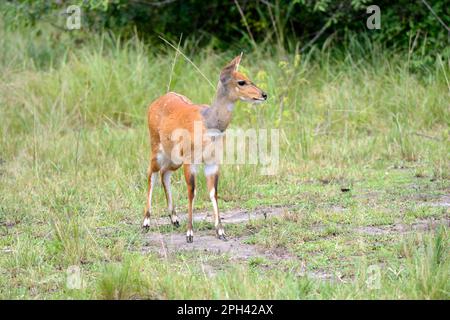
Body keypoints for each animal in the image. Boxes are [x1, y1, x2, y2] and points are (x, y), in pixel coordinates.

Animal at [142, 55, 266, 242]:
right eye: (241, 81)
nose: (264, 94)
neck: (209, 125)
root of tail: (154, 103)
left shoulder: (213, 161)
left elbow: (213, 192)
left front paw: (221, 231)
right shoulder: (190, 160)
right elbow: (192, 191)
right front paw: (189, 233)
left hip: (174, 158)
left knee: (164, 173)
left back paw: (174, 219)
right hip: (156, 147)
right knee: (152, 173)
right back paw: (146, 222)